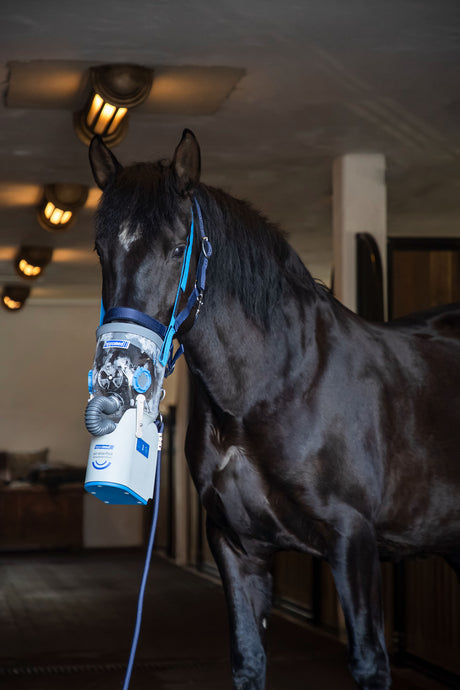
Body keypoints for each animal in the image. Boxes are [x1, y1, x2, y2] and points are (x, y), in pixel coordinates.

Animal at [88, 129, 460, 690]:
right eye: (101, 249)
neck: (273, 388)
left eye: (177, 247)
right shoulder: (237, 546)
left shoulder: (354, 541)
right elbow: (248, 658)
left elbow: (370, 662)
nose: (114, 373)